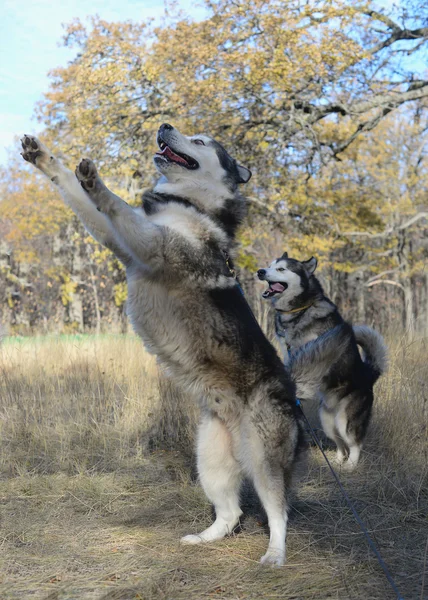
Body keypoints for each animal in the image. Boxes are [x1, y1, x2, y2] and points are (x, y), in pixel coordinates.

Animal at [20, 124, 314, 564]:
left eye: (201, 141)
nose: (164, 126)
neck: (190, 203)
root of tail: (291, 400)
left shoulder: (151, 243)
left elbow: (114, 203)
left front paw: (96, 181)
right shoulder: (121, 242)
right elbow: (76, 191)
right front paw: (43, 157)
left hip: (264, 461)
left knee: (278, 512)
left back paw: (275, 554)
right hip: (209, 460)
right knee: (231, 512)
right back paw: (205, 538)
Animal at [258, 251, 388, 472]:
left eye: (281, 269)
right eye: (269, 265)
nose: (260, 271)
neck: (299, 310)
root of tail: (369, 373)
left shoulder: (319, 346)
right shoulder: (288, 351)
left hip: (345, 420)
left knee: (355, 443)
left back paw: (350, 466)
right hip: (328, 421)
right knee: (341, 444)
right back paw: (337, 461)